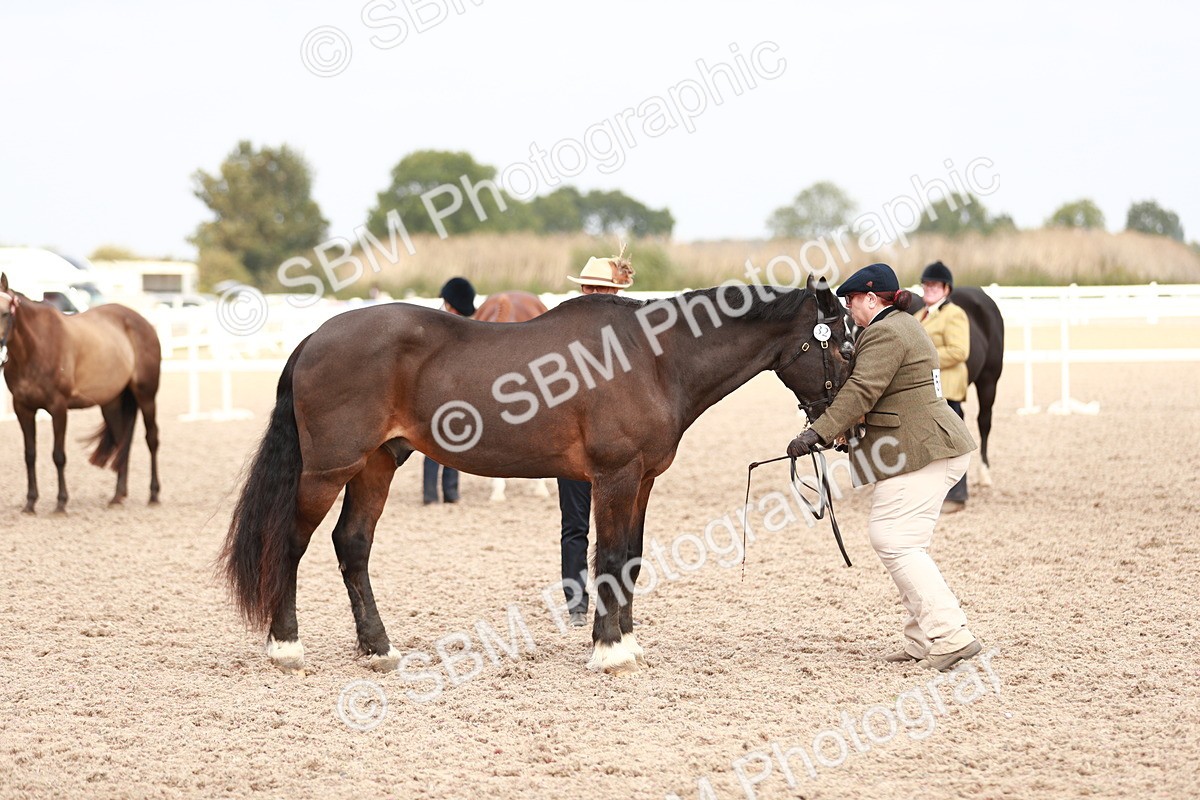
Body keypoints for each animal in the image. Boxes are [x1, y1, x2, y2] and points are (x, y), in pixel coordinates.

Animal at [0, 273, 162, 513]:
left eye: (4, 312)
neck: (36, 347)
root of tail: (143, 322)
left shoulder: (58, 408)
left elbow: (58, 455)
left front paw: (61, 503)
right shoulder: (23, 408)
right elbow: (29, 455)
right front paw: (30, 503)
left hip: (146, 396)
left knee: (151, 439)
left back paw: (153, 494)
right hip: (112, 404)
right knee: (122, 442)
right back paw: (117, 496)